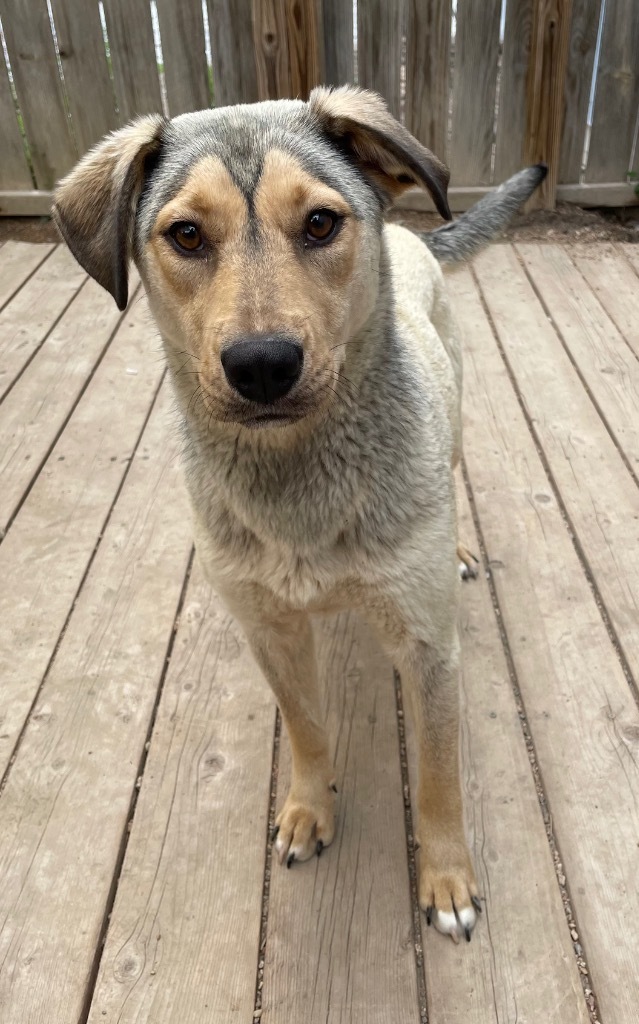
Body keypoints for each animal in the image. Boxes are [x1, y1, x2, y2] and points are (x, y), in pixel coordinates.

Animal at [52, 88, 544, 942]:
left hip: (453, 418)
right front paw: (309, 810)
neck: (297, 478)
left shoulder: (427, 647)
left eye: (319, 222)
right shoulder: (271, 632)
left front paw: (447, 878)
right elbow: (307, 729)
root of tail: (406, 234)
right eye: (186, 234)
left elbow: (439, 774)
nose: (261, 366)